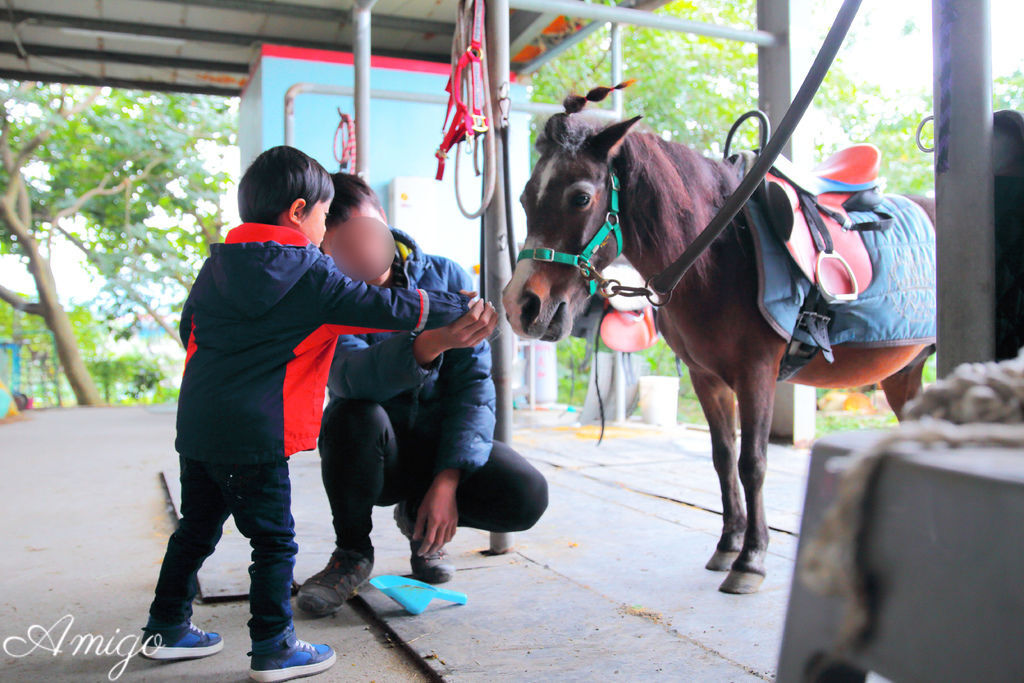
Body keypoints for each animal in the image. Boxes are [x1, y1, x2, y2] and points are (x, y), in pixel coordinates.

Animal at [503, 90, 937, 593]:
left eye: (580, 197)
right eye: (524, 197)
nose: (521, 306)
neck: (718, 255)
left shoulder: (757, 374)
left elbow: (753, 462)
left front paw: (751, 559)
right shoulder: (706, 378)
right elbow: (723, 457)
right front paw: (728, 545)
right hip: (904, 374)